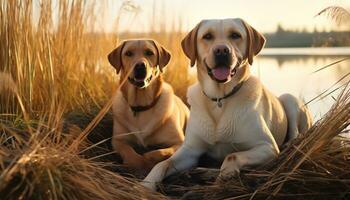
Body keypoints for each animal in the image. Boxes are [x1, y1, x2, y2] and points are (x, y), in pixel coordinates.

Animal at [108, 39, 189, 173]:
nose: (140, 66)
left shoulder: (180, 142)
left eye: (149, 53)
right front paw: (139, 164)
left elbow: (160, 152)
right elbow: (130, 153)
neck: (141, 106)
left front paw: (148, 158)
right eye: (128, 53)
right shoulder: (118, 140)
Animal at [142, 18, 312, 189]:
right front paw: (146, 185)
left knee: (295, 136)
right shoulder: (190, 150)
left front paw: (225, 175)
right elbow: (162, 164)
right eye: (207, 36)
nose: (221, 50)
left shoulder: (267, 147)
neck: (220, 99)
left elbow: (231, 156)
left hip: (289, 99)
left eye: (235, 35)